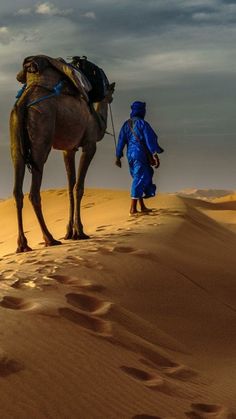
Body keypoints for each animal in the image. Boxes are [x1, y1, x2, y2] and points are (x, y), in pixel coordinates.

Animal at [10, 55, 115, 253]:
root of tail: (24, 102)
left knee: (17, 191)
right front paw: (80, 231)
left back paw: (23, 244)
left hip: (16, 144)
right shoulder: (89, 144)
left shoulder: (69, 149)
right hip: (40, 137)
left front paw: (69, 232)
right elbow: (78, 187)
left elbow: (69, 187)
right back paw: (49, 238)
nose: (111, 96)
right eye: (110, 89)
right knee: (34, 192)